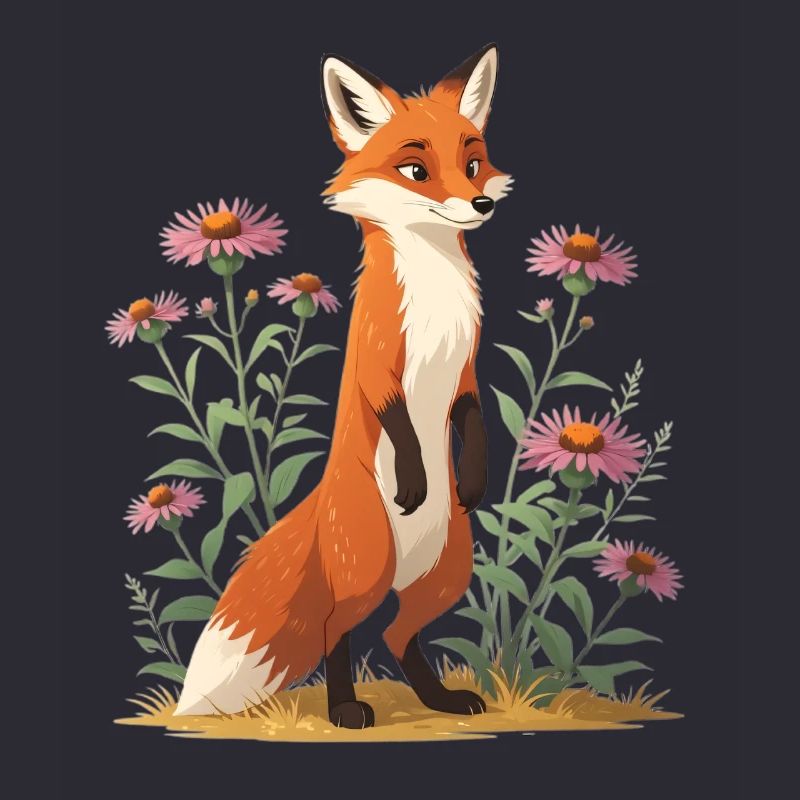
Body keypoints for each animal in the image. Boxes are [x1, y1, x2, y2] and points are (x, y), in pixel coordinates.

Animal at [175, 44, 513, 728]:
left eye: (472, 163)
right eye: (415, 169)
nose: (480, 204)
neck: (435, 296)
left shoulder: (466, 369)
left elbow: (472, 417)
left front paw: (473, 480)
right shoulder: (378, 363)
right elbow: (398, 418)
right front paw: (414, 478)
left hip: (445, 576)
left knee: (397, 636)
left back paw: (439, 699)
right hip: (369, 568)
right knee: (339, 629)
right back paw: (344, 709)